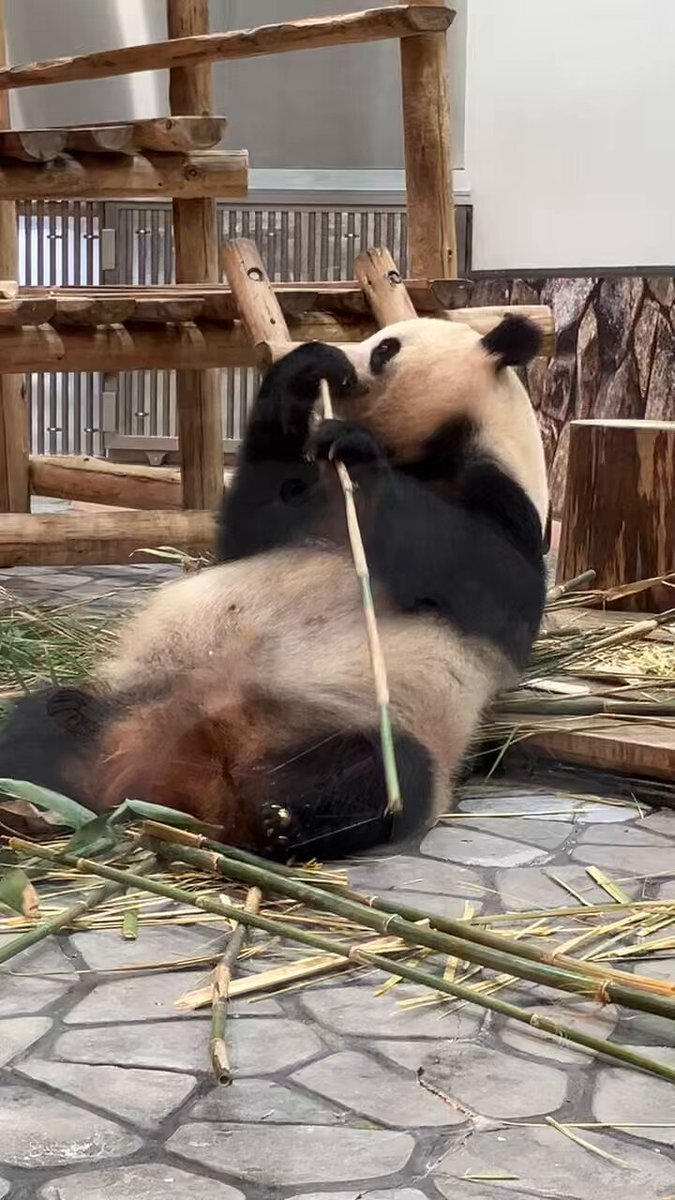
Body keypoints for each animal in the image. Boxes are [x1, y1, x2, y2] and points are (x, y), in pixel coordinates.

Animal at [0, 314, 548, 861]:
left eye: (385, 348)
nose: (341, 364)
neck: (430, 450)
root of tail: (180, 782)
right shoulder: (296, 506)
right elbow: (255, 519)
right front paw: (301, 373)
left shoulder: (502, 498)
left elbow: (486, 574)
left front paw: (357, 449)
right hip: (126, 704)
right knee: (42, 724)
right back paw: (27, 796)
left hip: (368, 726)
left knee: (374, 775)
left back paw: (280, 820)